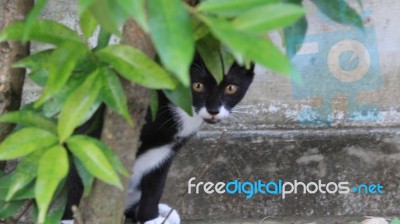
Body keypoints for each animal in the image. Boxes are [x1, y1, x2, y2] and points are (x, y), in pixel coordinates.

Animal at [62, 54, 253, 224]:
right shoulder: (92, 132)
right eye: (197, 86)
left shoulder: (165, 151)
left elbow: (156, 182)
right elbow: (80, 175)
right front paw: (71, 219)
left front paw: (149, 217)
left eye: (231, 88)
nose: (213, 110)